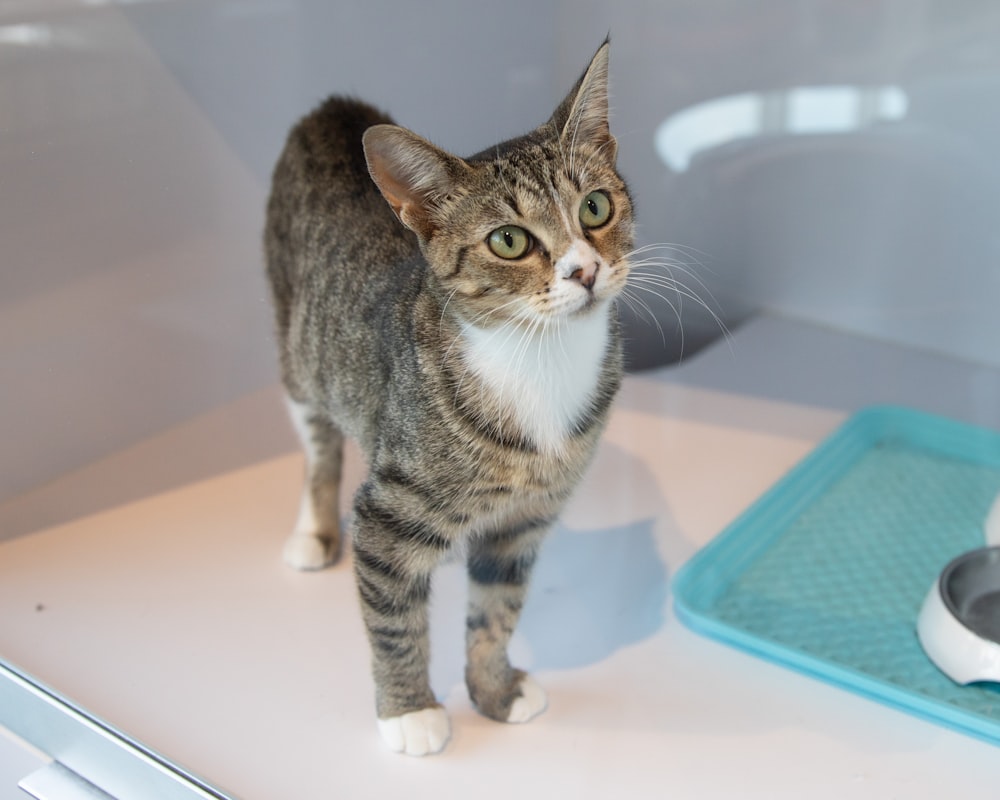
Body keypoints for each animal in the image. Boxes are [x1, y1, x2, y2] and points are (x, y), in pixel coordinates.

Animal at [262, 42, 628, 756]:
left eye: (596, 207)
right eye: (509, 240)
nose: (585, 270)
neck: (541, 361)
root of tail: (331, 109)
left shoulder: (523, 522)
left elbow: (497, 610)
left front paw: (495, 689)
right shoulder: (387, 518)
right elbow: (395, 622)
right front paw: (410, 712)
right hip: (296, 348)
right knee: (318, 444)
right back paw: (314, 532)